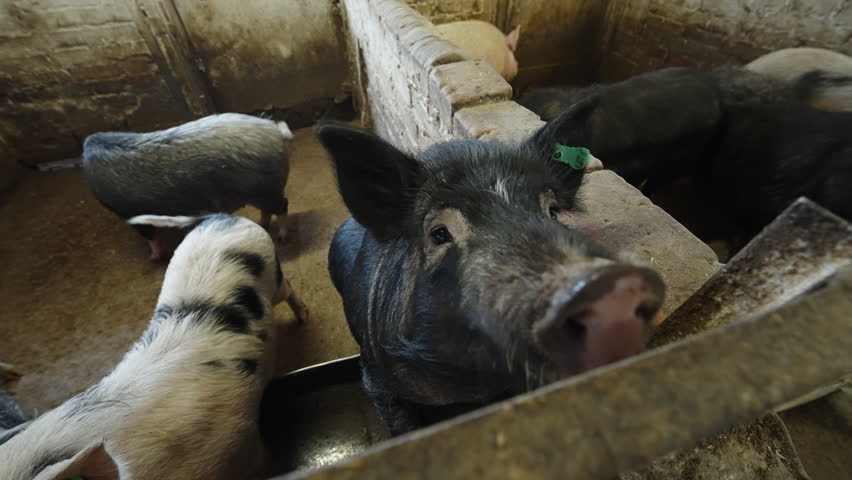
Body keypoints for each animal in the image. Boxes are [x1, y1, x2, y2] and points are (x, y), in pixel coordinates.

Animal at [82, 113, 294, 260]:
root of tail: (275, 130)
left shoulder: (129, 214)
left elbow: (149, 236)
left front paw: (153, 258)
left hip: (266, 190)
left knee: (283, 205)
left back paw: (282, 237)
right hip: (262, 192)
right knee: (268, 211)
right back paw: (262, 224)